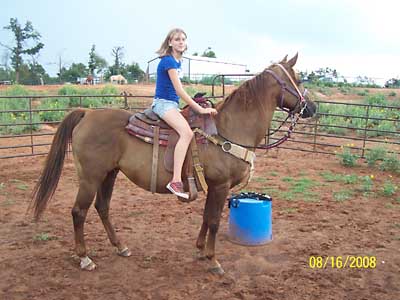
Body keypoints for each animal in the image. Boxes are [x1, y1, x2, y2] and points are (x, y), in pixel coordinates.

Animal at [30, 54, 316, 274]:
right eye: (299, 79)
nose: (312, 107)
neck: (228, 129)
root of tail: (87, 113)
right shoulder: (220, 185)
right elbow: (214, 221)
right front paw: (213, 261)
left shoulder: (212, 187)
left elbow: (206, 218)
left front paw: (200, 251)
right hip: (90, 177)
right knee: (79, 212)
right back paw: (85, 258)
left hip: (109, 173)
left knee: (102, 207)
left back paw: (120, 246)